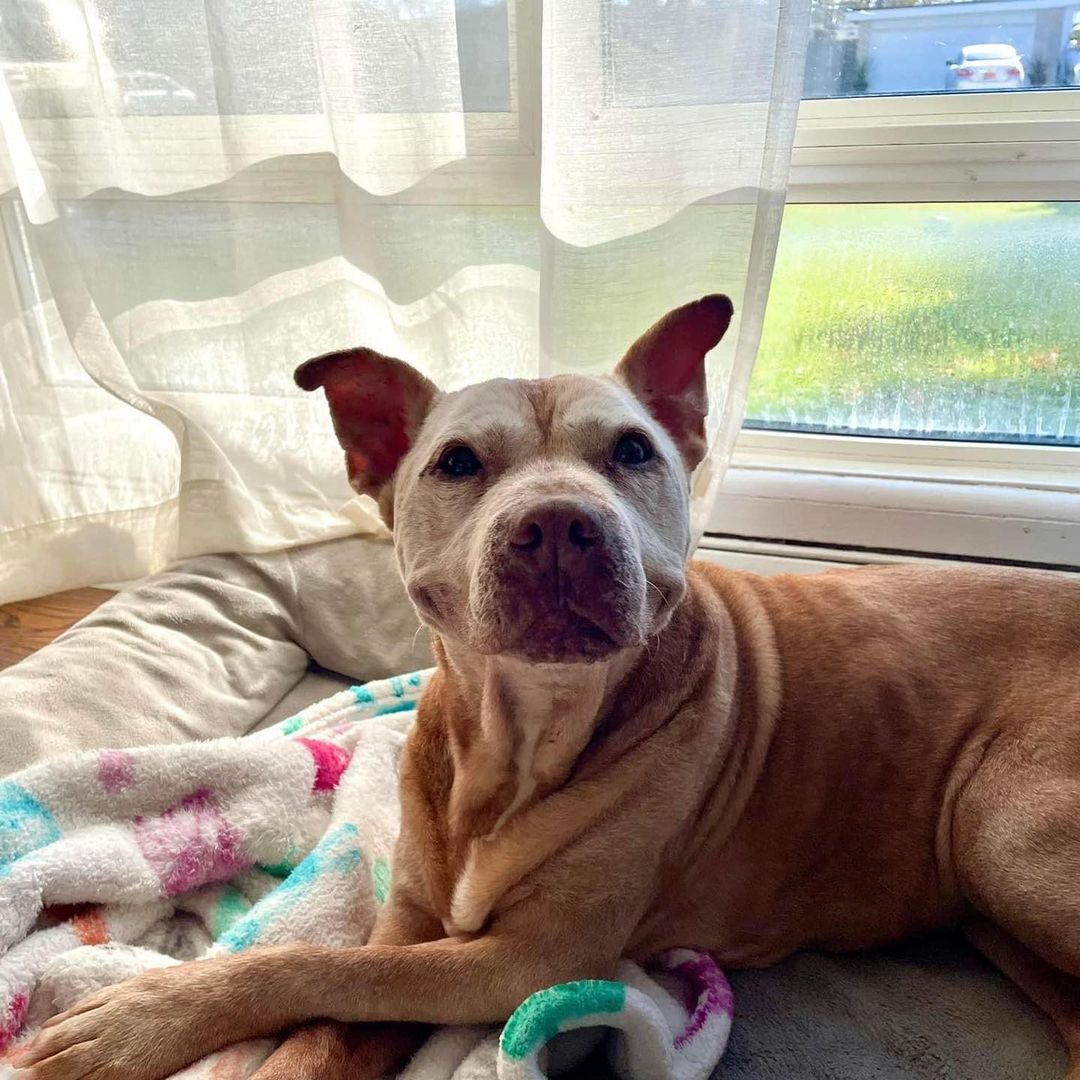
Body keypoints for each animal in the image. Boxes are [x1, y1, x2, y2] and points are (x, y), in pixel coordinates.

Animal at [12, 295, 1080, 1080]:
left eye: (634, 450)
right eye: (456, 462)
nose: (560, 524)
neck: (518, 735)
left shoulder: (527, 964)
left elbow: (310, 962)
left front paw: (144, 1017)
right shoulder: (412, 927)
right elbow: (329, 1006)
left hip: (1001, 830)